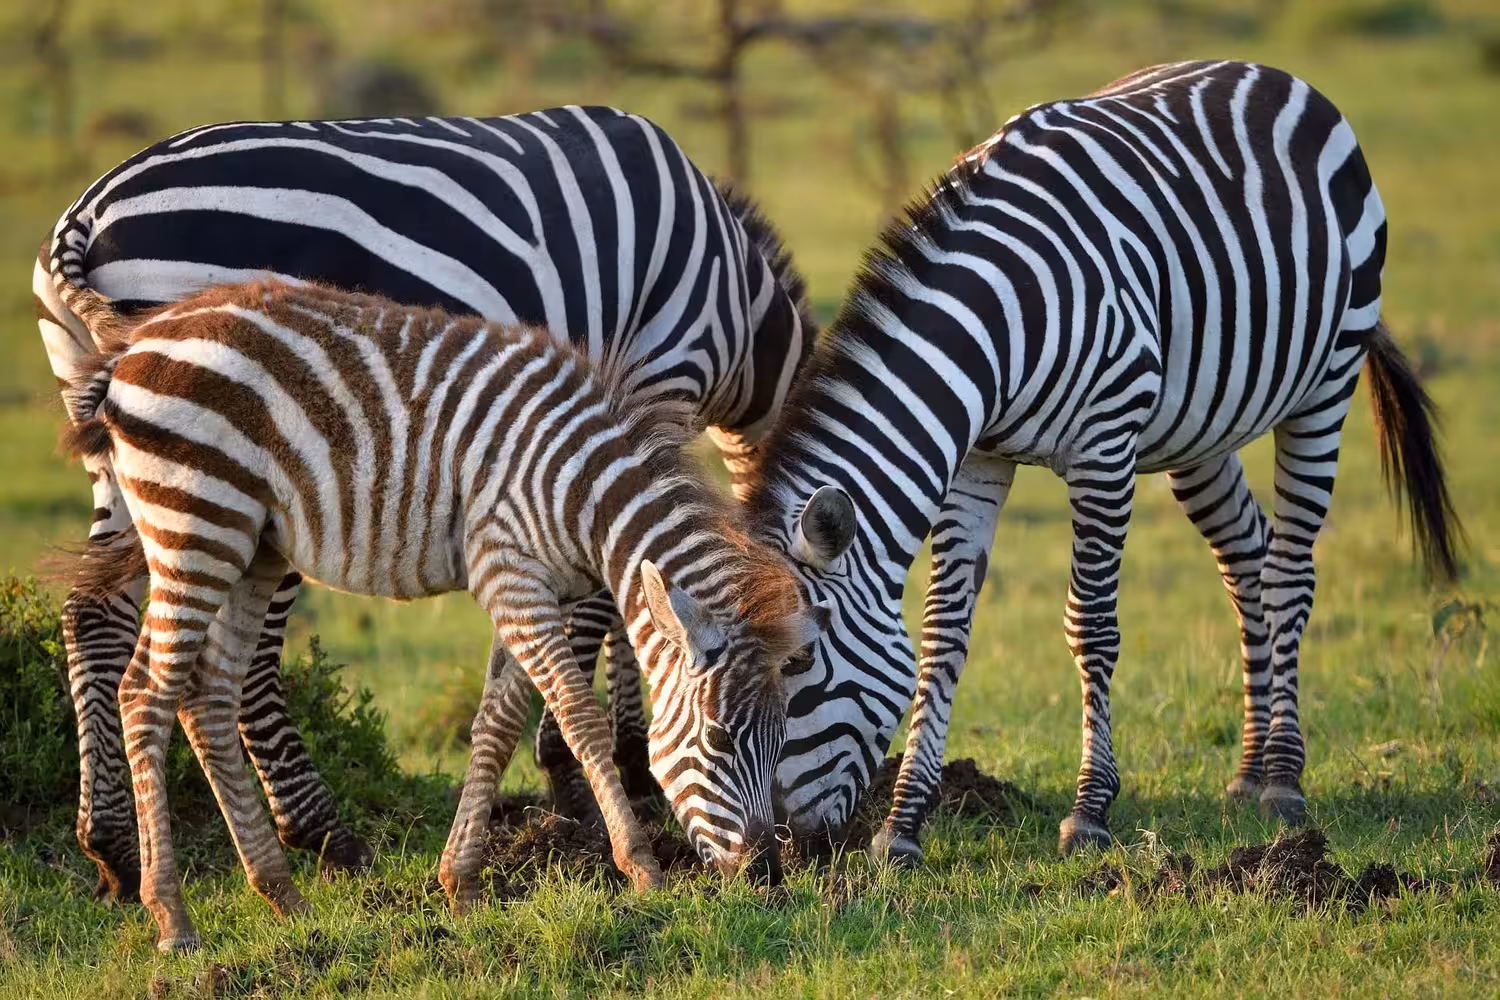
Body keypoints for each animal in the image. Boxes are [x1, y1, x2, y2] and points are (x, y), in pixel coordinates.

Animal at [32, 106, 816, 902]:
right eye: (807, 680)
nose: (785, 861)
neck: (739, 308)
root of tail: (84, 217)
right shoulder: (663, 376)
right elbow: (611, 607)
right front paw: (591, 775)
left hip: (125, 448)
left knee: (94, 614)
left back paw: (114, 848)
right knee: (236, 662)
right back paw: (318, 831)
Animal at [744, 60, 1463, 858]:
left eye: (800, 664)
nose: (784, 848)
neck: (1000, 319)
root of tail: (1274, 74)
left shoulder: (1105, 449)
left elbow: (1090, 625)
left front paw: (1090, 811)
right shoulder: (978, 460)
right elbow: (943, 630)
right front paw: (902, 826)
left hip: (1324, 386)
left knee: (1289, 574)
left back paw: (1282, 778)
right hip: (1199, 432)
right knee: (1248, 559)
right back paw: (1248, 771)